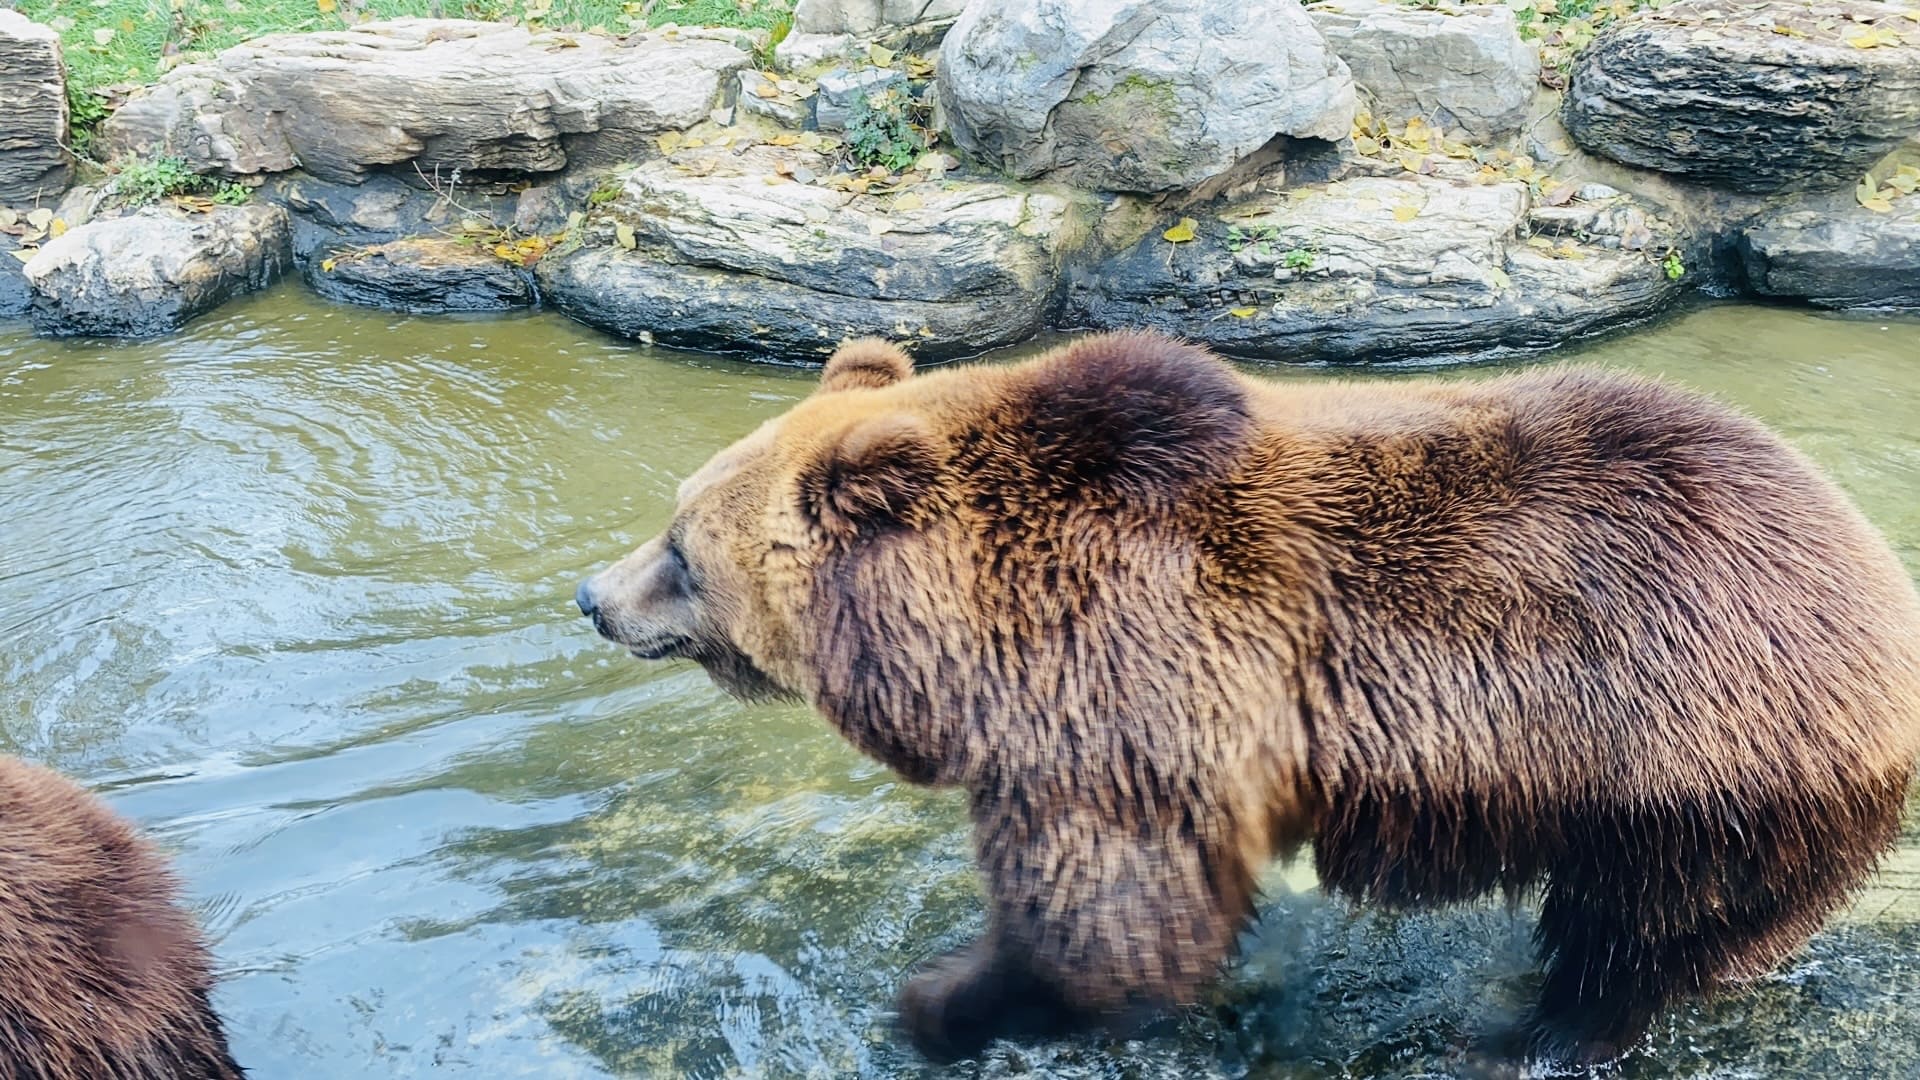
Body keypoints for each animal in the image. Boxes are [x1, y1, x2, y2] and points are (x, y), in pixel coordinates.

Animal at [568, 332, 1920, 1060]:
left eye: (681, 546)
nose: (590, 592)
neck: (961, 634)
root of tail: (1872, 567)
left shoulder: (1123, 683)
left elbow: (1109, 911)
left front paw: (944, 998)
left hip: (1693, 752)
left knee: (1646, 927)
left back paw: (1536, 1031)